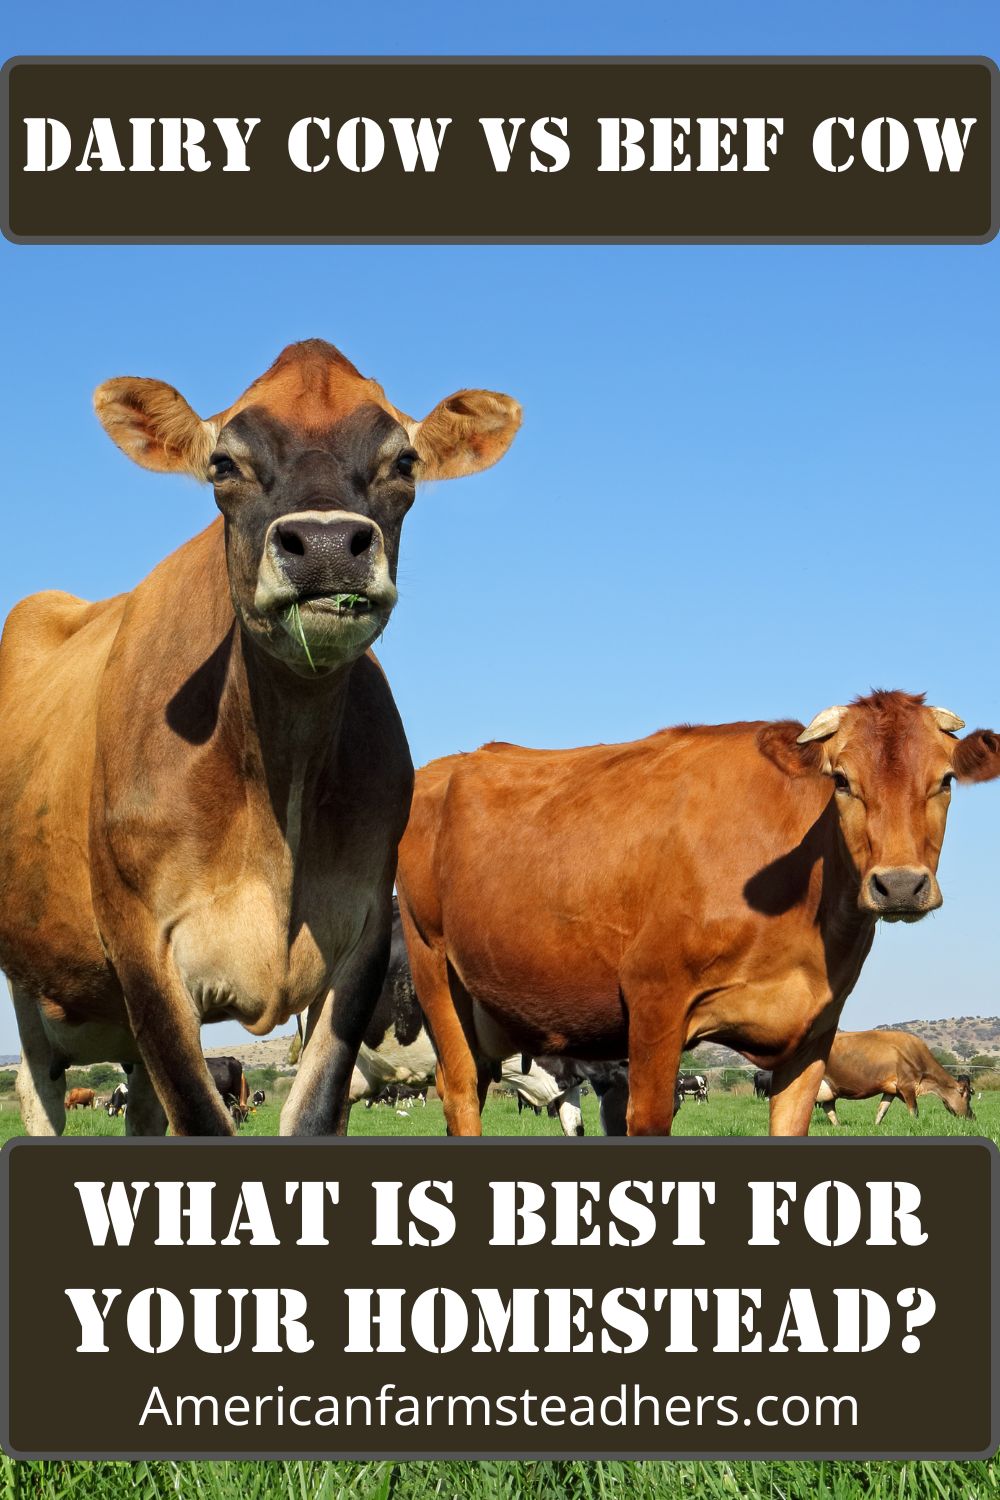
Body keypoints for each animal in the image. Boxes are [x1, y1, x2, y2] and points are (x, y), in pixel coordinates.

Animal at [0, 340, 520, 1137]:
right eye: (224, 464)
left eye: (403, 461)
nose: (329, 546)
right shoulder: (144, 950)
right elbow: (200, 1116)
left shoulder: (362, 942)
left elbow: (312, 1112)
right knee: (39, 1092)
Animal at [814, 1030, 975, 1126]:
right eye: (968, 1097)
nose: (972, 1117)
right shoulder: (906, 1086)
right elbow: (914, 1111)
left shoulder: (891, 1090)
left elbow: (882, 1110)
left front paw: (876, 1126)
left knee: (829, 1107)